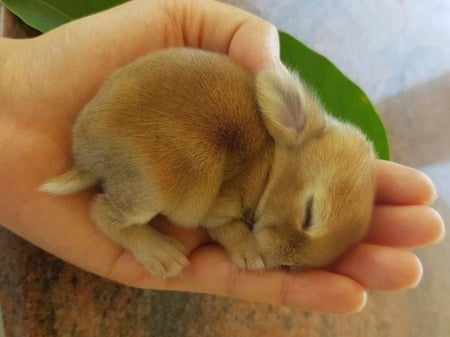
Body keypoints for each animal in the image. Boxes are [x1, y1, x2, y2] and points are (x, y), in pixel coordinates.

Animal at [39, 48, 376, 276]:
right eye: (308, 214)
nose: (286, 260)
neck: (268, 163)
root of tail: (85, 157)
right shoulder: (218, 207)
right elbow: (226, 228)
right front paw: (252, 255)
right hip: (147, 193)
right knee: (100, 212)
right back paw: (164, 256)